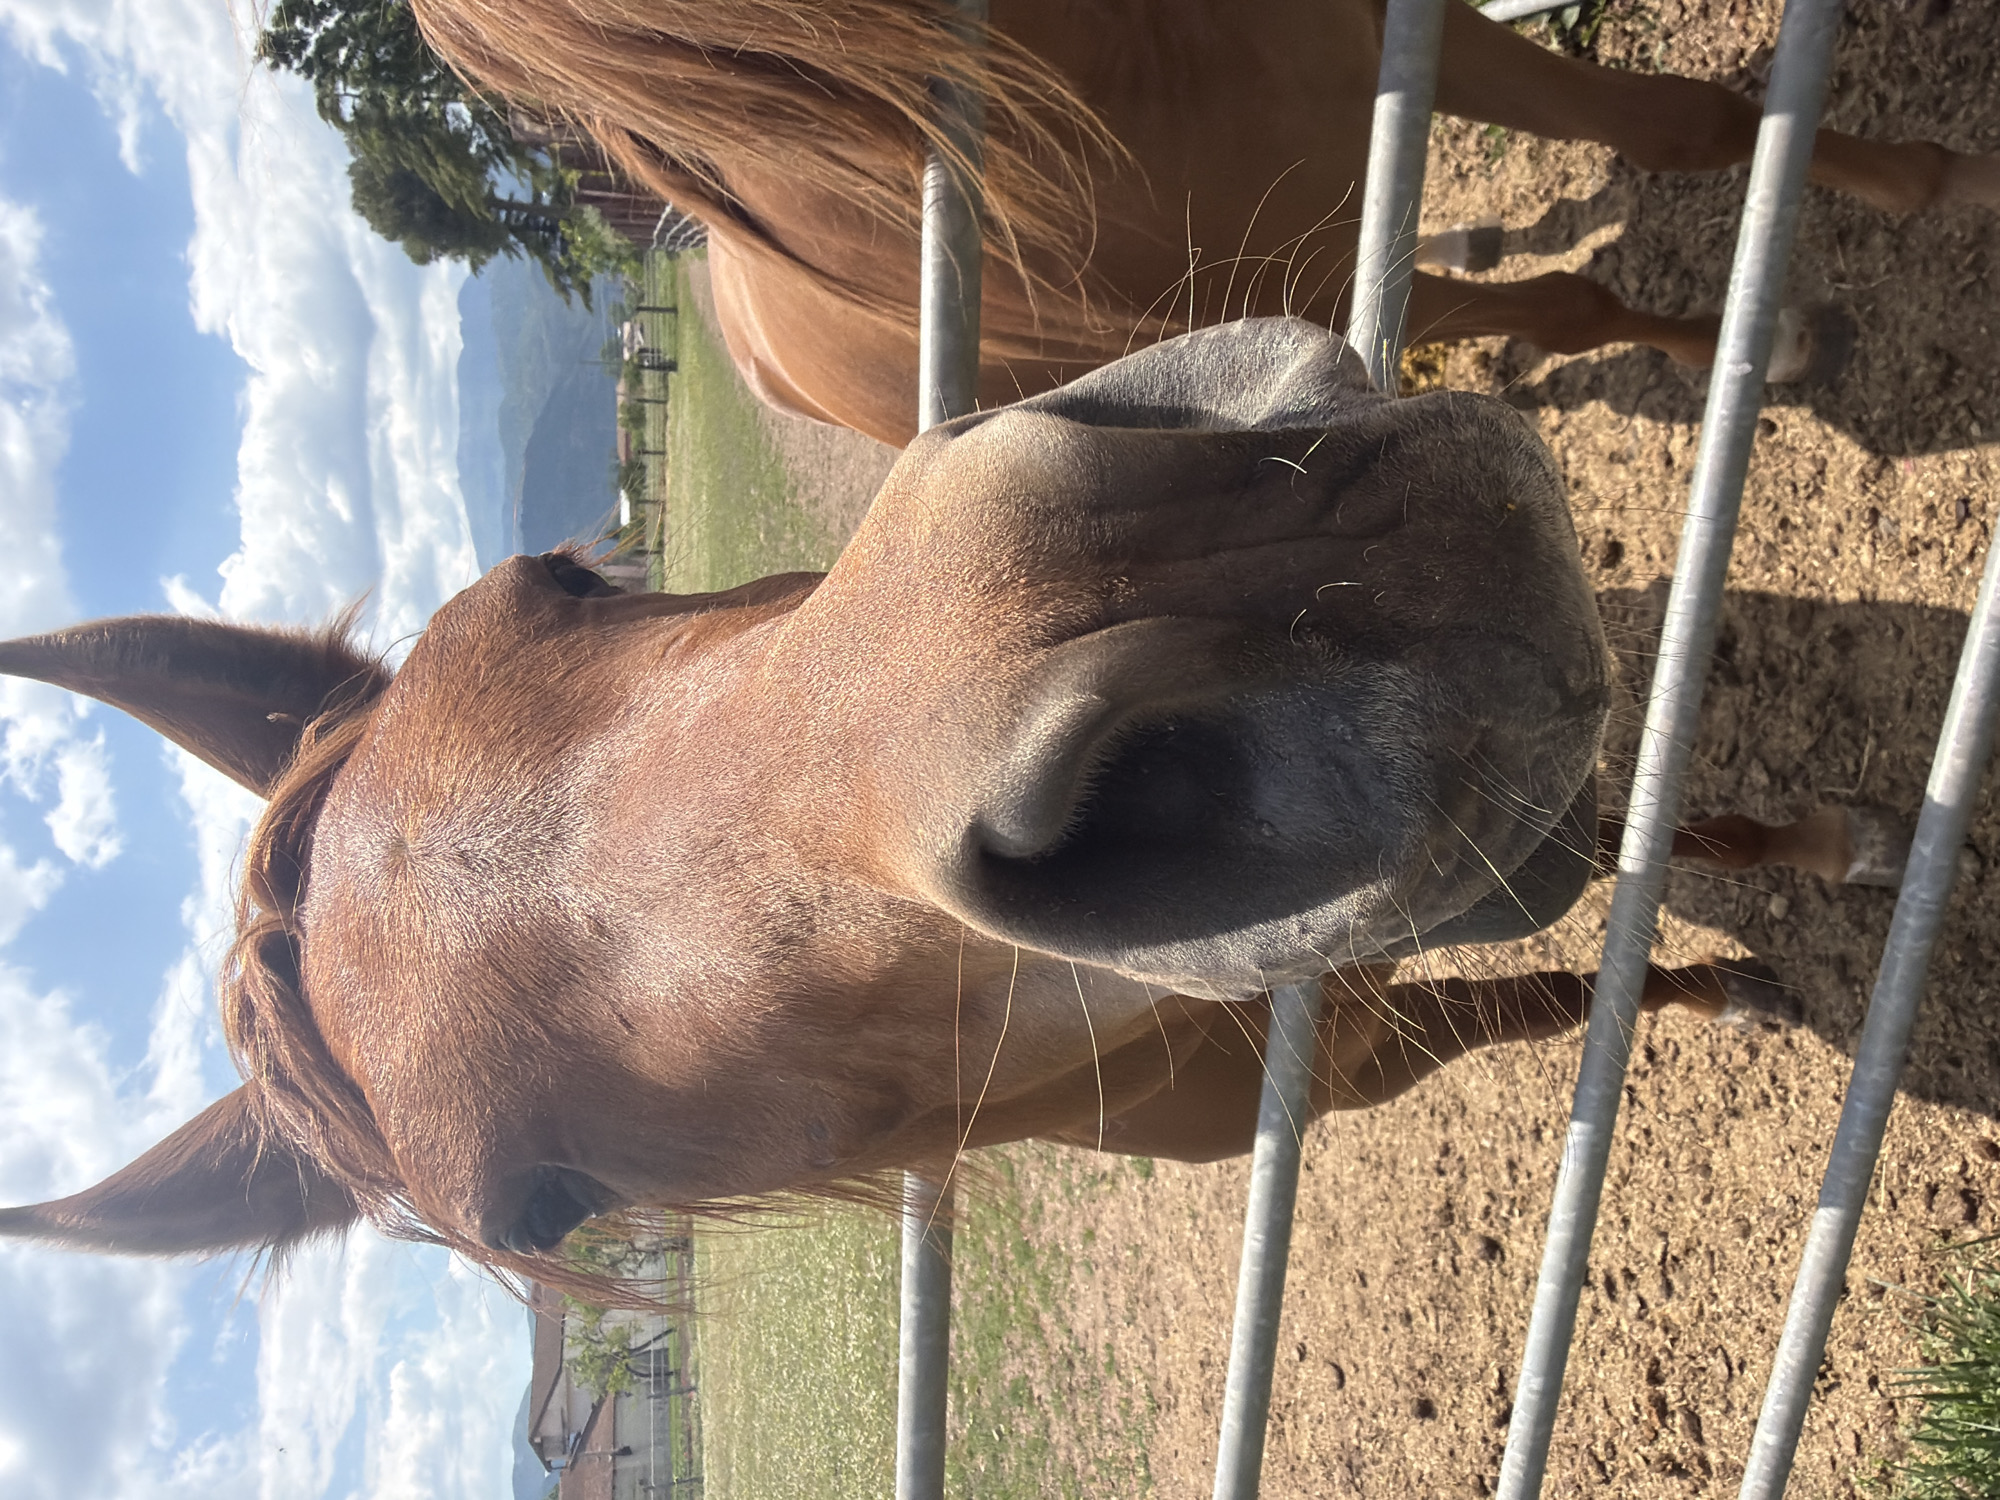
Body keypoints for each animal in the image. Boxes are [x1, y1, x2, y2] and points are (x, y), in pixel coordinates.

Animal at [0, 320, 1893, 1289]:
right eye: (548, 1207)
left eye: (549, 583)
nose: (1192, 568)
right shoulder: (1353, 1045)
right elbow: (1545, 997)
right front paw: (1728, 980)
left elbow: (1646, 842)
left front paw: (1818, 852)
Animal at [408, 0, 2000, 445]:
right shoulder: (1323, 266)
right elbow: (1570, 303)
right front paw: (1765, 341)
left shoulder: (1404, 49)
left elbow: (1688, 127)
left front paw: (1939, 182)